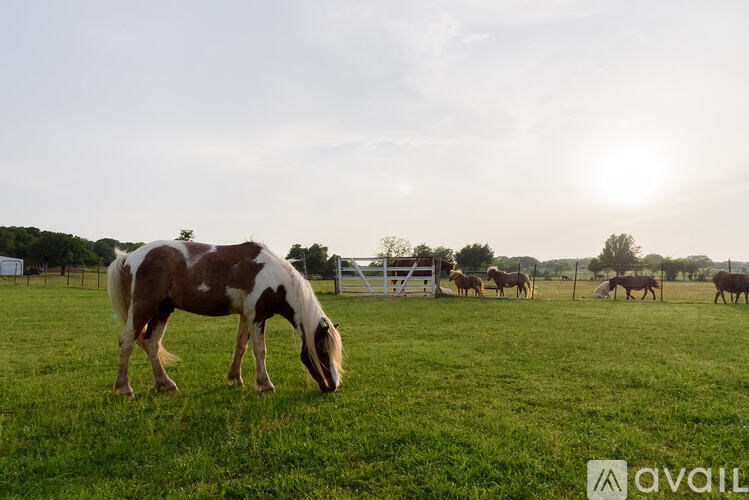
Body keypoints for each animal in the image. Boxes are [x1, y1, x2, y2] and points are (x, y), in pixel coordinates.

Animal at [107, 240, 343, 397]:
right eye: (323, 352)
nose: (333, 386)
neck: (274, 278)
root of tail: (128, 257)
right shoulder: (257, 317)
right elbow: (260, 351)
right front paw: (265, 384)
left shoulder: (246, 316)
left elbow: (240, 347)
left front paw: (234, 379)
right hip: (143, 308)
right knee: (126, 342)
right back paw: (124, 389)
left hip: (162, 310)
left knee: (151, 344)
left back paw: (165, 384)